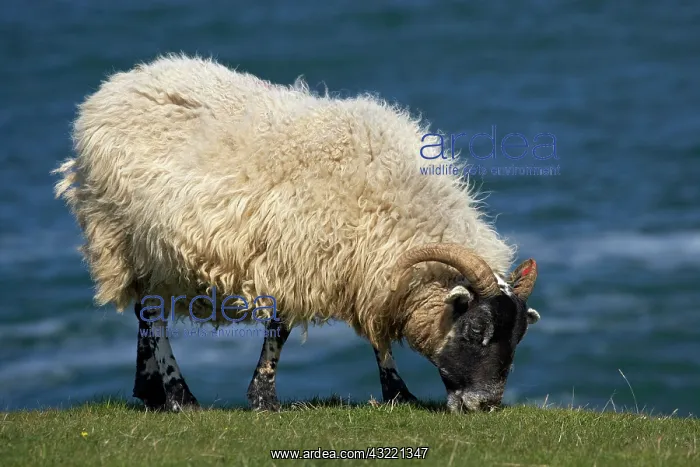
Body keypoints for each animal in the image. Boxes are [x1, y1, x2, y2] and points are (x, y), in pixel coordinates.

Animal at [53, 54, 541, 413]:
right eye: (475, 330)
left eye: (519, 337)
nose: (484, 406)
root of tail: (118, 85)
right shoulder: (297, 257)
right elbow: (280, 330)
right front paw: (264, 399)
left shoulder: (364, 270)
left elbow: (376, 336)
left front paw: (397, 393)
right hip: (130, 237)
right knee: (154, 315)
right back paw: (178, 396)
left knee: (144, 310)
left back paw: (150, 389)